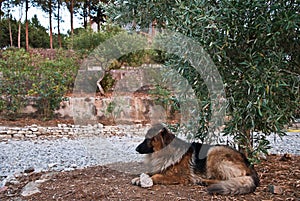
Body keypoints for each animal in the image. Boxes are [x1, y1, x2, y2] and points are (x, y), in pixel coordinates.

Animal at [132, 124, 260, 195]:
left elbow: (157, 176)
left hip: (214, 152)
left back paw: (204, 181)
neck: (165, 152)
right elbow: (149, 172)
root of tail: (249, 165)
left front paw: (147, 179)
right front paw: (139, 178)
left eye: (148, 139)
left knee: (224, 179)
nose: (136, 149)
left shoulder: (178, 176)